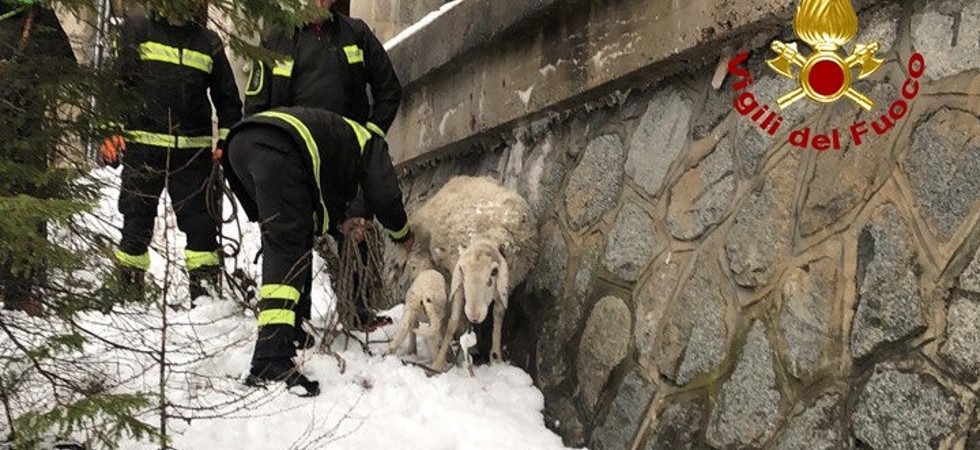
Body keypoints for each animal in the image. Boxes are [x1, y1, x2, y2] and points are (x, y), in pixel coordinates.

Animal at [391, 175, 539, 373]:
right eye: (463, 272)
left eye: (494, 272)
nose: (474, 315)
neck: (488, 233)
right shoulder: (458, 281)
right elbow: (453, 321)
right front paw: (438, 364)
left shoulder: (508, 283)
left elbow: (498, 317)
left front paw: (496, 358)